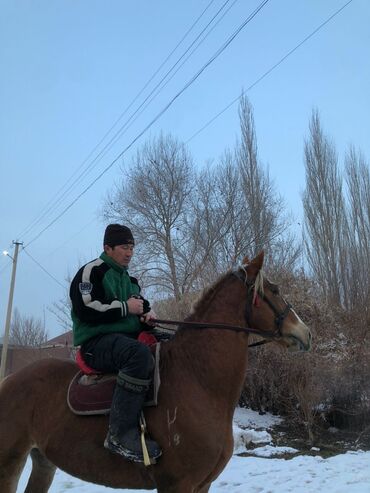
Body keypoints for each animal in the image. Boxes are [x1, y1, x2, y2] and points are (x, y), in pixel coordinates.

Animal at [0, 252, 312, 490]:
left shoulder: (202, 485)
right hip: (9, 463)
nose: (305, 333)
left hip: (43, 461)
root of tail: (9, 382)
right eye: (275, 291)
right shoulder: (177, 485)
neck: (198, 379)